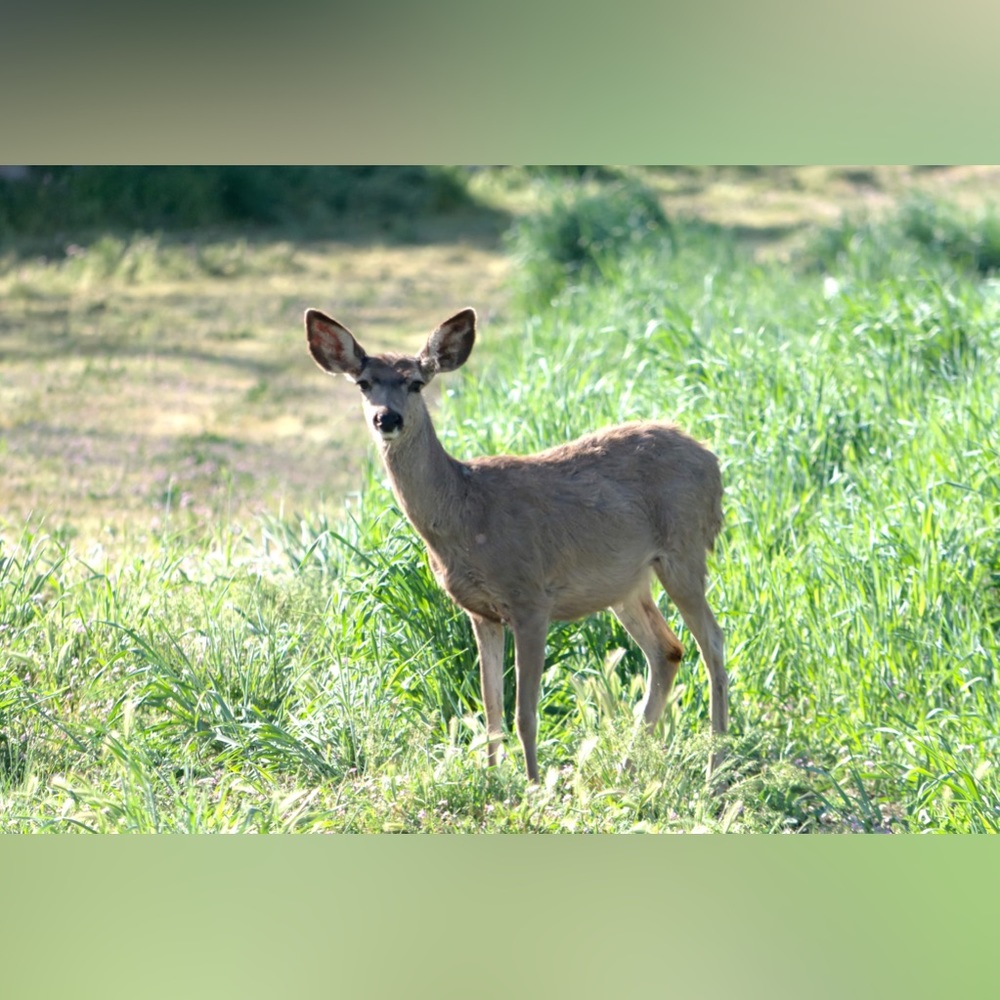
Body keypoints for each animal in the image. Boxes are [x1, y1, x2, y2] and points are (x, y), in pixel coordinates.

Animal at [305, 306, 728, 783]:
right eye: (364, 383)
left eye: (415, 382)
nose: (387, 418)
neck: (465, 512)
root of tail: (712, 459)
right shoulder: (480, 612)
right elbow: (491, 709)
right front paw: (492, 779)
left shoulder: (530, 598)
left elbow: (525, 713)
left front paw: (534, 784)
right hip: (626, 584)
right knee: (667, 651)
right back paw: (627, 768)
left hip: (683, 551)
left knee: (713, 642)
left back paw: (715, 766)